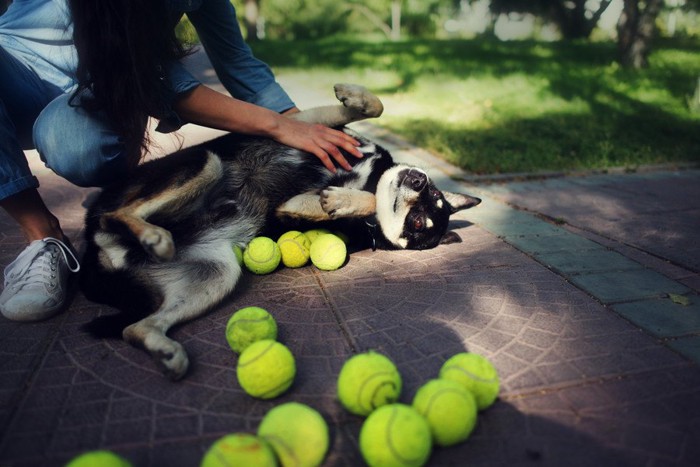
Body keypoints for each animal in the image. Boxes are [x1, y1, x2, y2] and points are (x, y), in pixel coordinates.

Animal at [79, 87, 478, 380]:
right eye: (431, 195)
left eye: (418, 223)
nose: (419, 179)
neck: (371, 175)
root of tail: (98, 257)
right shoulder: (310, 128)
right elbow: (373, 107)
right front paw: (352, 95)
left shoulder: (288, 212)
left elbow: (364, 205)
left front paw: (341, 200)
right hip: (206, 166)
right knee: (115, 215)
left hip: (217, 273)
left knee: (134, 325)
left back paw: (165, 339)